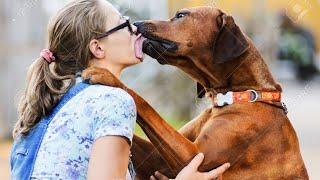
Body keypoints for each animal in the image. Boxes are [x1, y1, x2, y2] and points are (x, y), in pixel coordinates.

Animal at [82, 6, 308, 179]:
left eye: (181, 15)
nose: (137, 23)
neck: (239, 95)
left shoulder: (195, 157)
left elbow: (145, 103)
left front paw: (107, 75)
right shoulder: (157, 159)